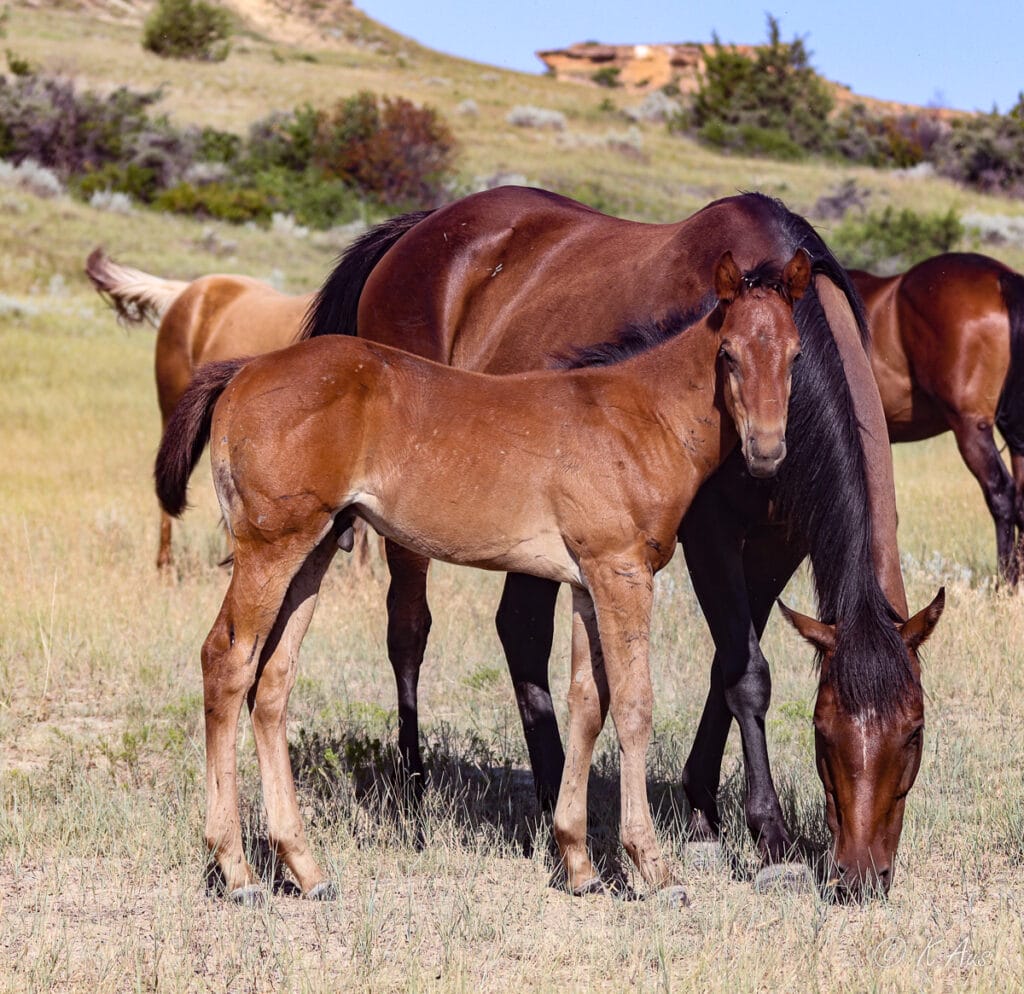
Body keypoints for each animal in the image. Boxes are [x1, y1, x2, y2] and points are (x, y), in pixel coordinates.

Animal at [155, 252, 811, 904]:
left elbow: (586, 704)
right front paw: (653, 868)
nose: (767, 452)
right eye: (728, 352)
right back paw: (237, 870)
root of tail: (243, 371)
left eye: (795, 353)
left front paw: (579, 864)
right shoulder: (622, 573)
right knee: (227, 662)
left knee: (272, 684)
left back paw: (305, 867)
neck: (639, 417)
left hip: (311, 553)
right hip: (270, 549)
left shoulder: (586, 584)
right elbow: (633, 705)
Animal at [303, 188, 942, 900]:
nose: (862, 877)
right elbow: (747, 674)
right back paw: (417, 785)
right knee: (409, 629)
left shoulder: (779, 544)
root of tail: (416, 234)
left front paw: (702, 808)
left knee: (520, 631)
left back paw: (555, 791)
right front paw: (769, 836)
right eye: (824, 732)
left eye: (914, 734)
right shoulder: (707, 535)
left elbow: (727, 666)